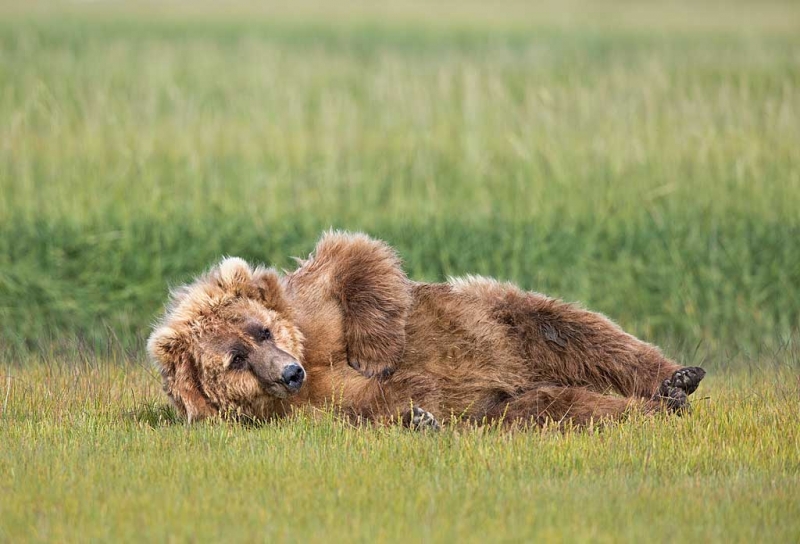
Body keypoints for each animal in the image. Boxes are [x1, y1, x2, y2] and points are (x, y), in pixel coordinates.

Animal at [147, 230, 704, 430]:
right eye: (235, 359)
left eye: (261, 331)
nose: (288, 374)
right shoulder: (315, 404)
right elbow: (376, 402)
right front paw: (417, 415)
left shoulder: (313, 311)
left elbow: (356, 257)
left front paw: (375, 353)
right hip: (505, 406)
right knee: (561, 409)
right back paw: (654, 408)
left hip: (507, 320)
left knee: (577, 332)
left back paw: (677, 379)